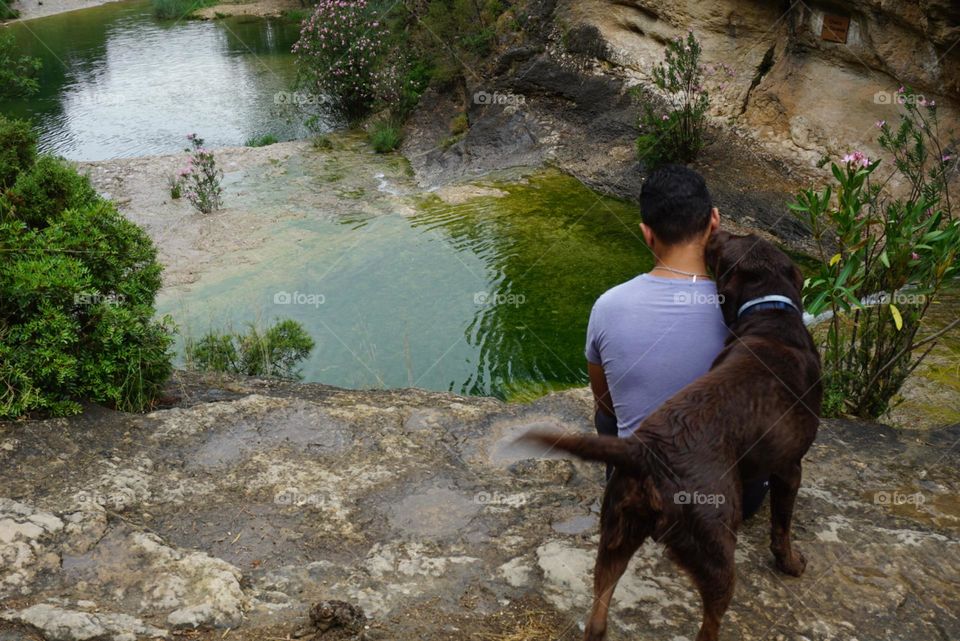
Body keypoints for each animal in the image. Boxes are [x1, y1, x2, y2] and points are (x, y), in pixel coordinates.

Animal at [520, 234, 820, 640]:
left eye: (733, 242)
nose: (717, 234)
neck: (771, 315)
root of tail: (645, 452)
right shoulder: (789, 467)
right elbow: (782, 526)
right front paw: (790, 562)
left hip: (616, 532)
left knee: (598, 614)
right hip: (716, 547)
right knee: (709, 624)